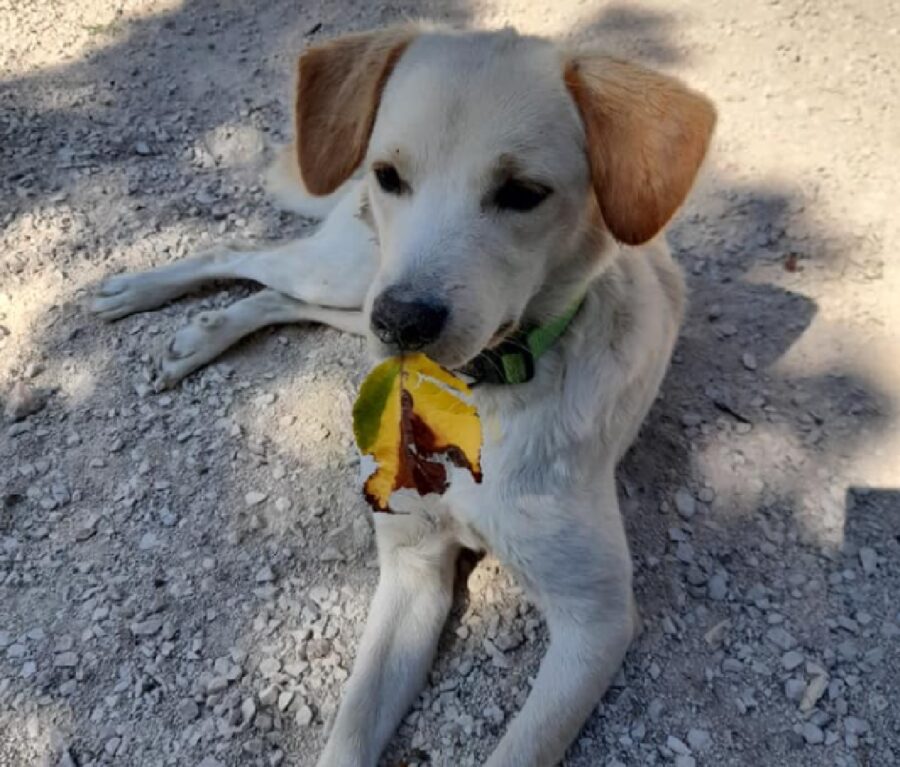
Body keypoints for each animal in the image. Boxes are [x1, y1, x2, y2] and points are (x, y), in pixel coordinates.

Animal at [91, 25, 716, 767]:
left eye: (523, 192)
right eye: (390, 175)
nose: (403, 322)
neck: (475, 406)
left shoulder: (595, 620)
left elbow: (519, 750)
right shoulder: (413, 563)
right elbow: (351, 729)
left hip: (353, 301)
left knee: (278, 295)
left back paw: (200, 333)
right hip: (352, 275)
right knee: (243, 253)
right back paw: (141, 292)